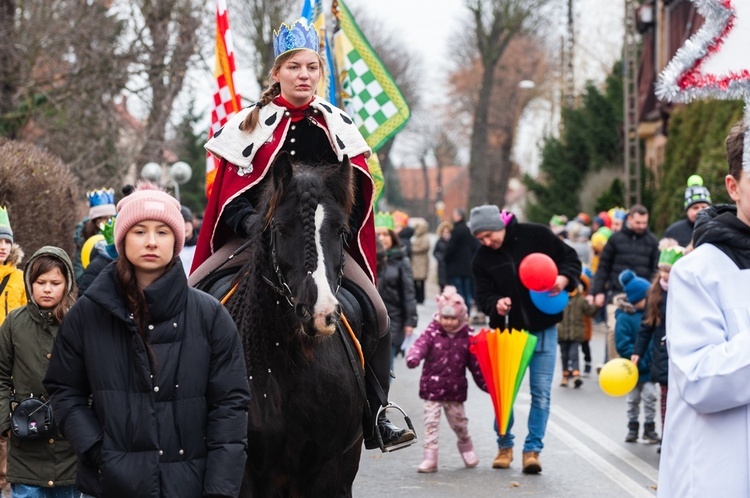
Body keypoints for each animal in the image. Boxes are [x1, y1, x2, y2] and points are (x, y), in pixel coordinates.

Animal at [197, 153, 370, 498]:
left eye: (341, 231)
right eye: (280, 227)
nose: (319, 312)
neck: (290, 360)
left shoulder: (327, 467)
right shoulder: (244, 467)